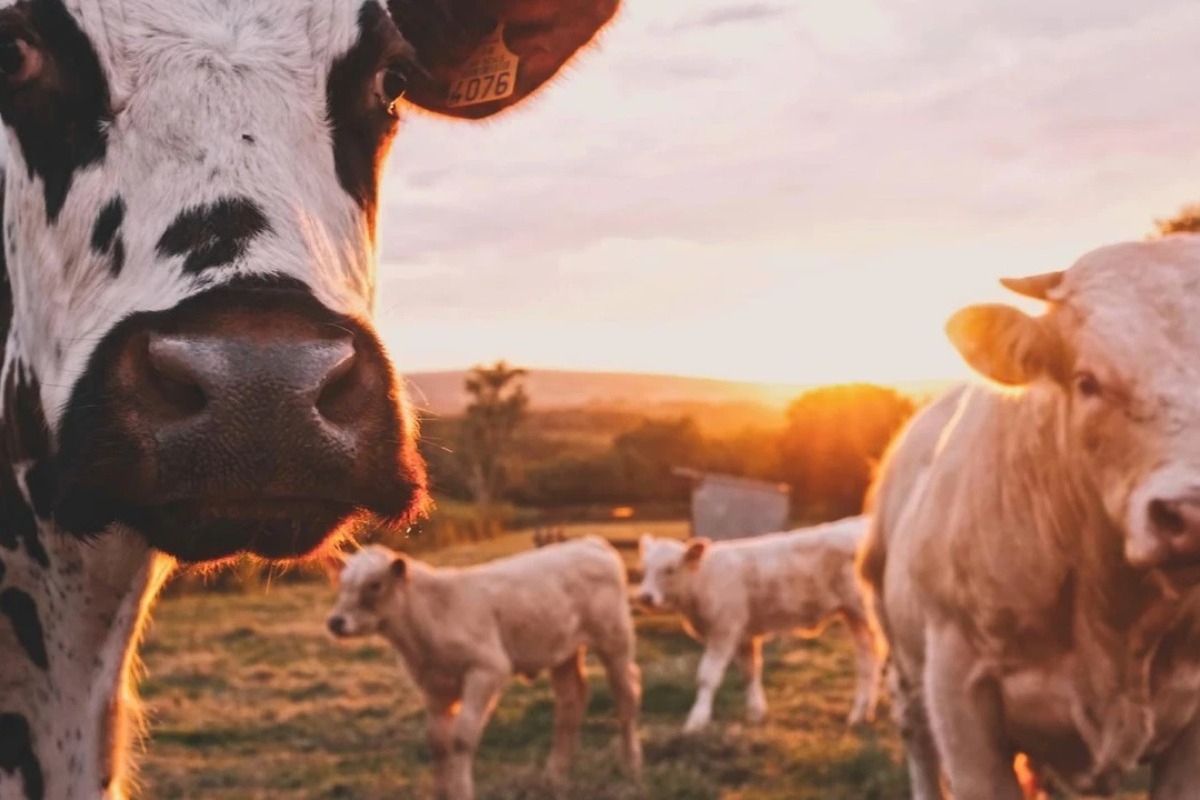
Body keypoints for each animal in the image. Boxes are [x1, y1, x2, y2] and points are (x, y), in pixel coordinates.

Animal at [324, 537, 643, 800]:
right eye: (342, 583)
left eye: (374, 584)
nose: (336, 622)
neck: (430, 617)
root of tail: (590, 542)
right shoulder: (434, 686)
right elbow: (437, 741)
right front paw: (442, 792)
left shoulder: (487, 669)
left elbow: (462, 738)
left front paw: (461, 792)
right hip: (562, 651)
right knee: (570, 701)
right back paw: (554, 775)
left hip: (615, 640)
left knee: (626, 694)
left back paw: (630, 764)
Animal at [638, 515, 883, 734]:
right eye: (645, 568)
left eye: (670, 569)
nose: (645, 597)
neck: (703, 579)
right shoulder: (744, 634)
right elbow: (750, 672)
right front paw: (756, 713)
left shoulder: (724, 630)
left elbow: (707, 676)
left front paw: (696, 720)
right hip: (853, 615)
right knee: (867, 659)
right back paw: (862, 714)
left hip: (866, 612)